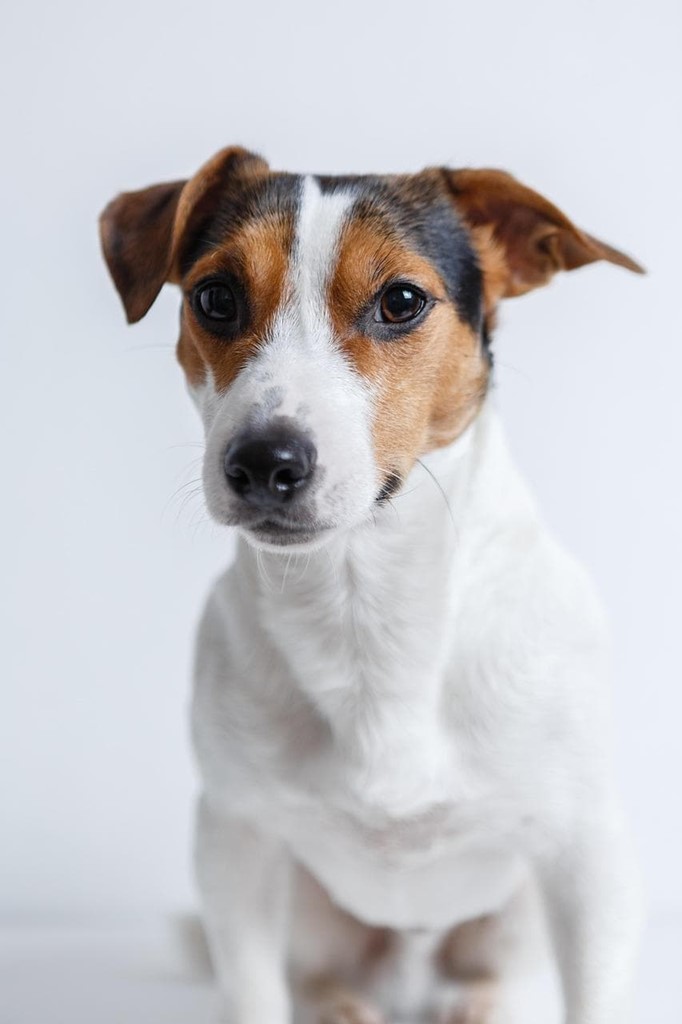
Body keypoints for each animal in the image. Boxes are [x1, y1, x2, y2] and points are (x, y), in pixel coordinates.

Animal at [98, 149, 638, 1024]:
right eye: (215, 297)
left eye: (402, 301)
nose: (264, 462)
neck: (363, 599)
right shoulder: (235, 844)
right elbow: (253, 993)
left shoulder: (589, 857)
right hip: (306, 909)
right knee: (317, 974)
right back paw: (341, 1004)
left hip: (515, 912)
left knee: (489, 973)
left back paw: (474, 1004)